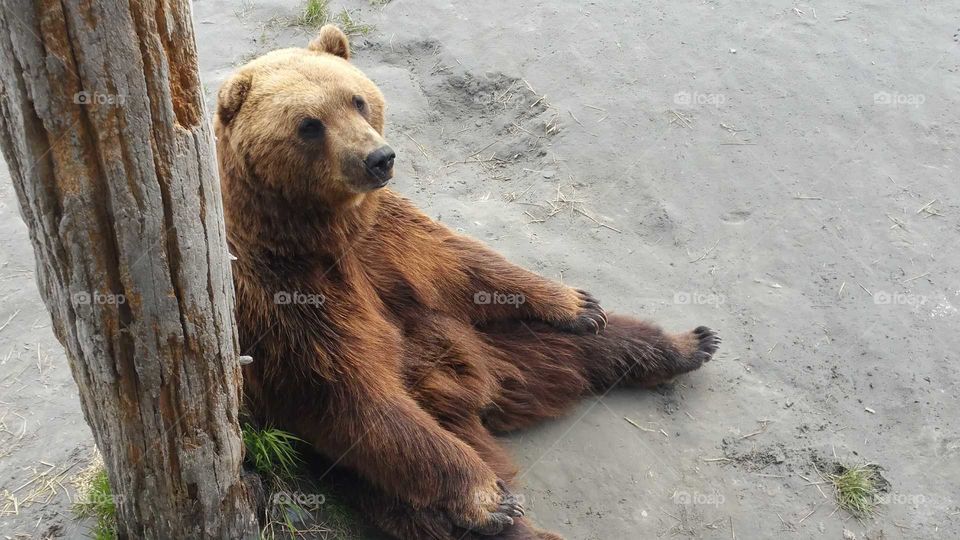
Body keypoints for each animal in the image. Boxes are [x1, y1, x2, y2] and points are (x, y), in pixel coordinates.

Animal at [215, 25, 720, 540]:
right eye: (310, 124)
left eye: (356, 99)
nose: (379, 158)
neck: (321, 232)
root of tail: (484, 401)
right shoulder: (283, 293)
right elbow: (350, 390)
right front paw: (488, 498)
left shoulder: (383, 237)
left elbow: (465, 265)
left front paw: (574, 302)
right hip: (399, 448)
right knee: (426, 498)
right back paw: (509, 514)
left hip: (497, 341)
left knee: (587, 343)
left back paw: (687, 343)